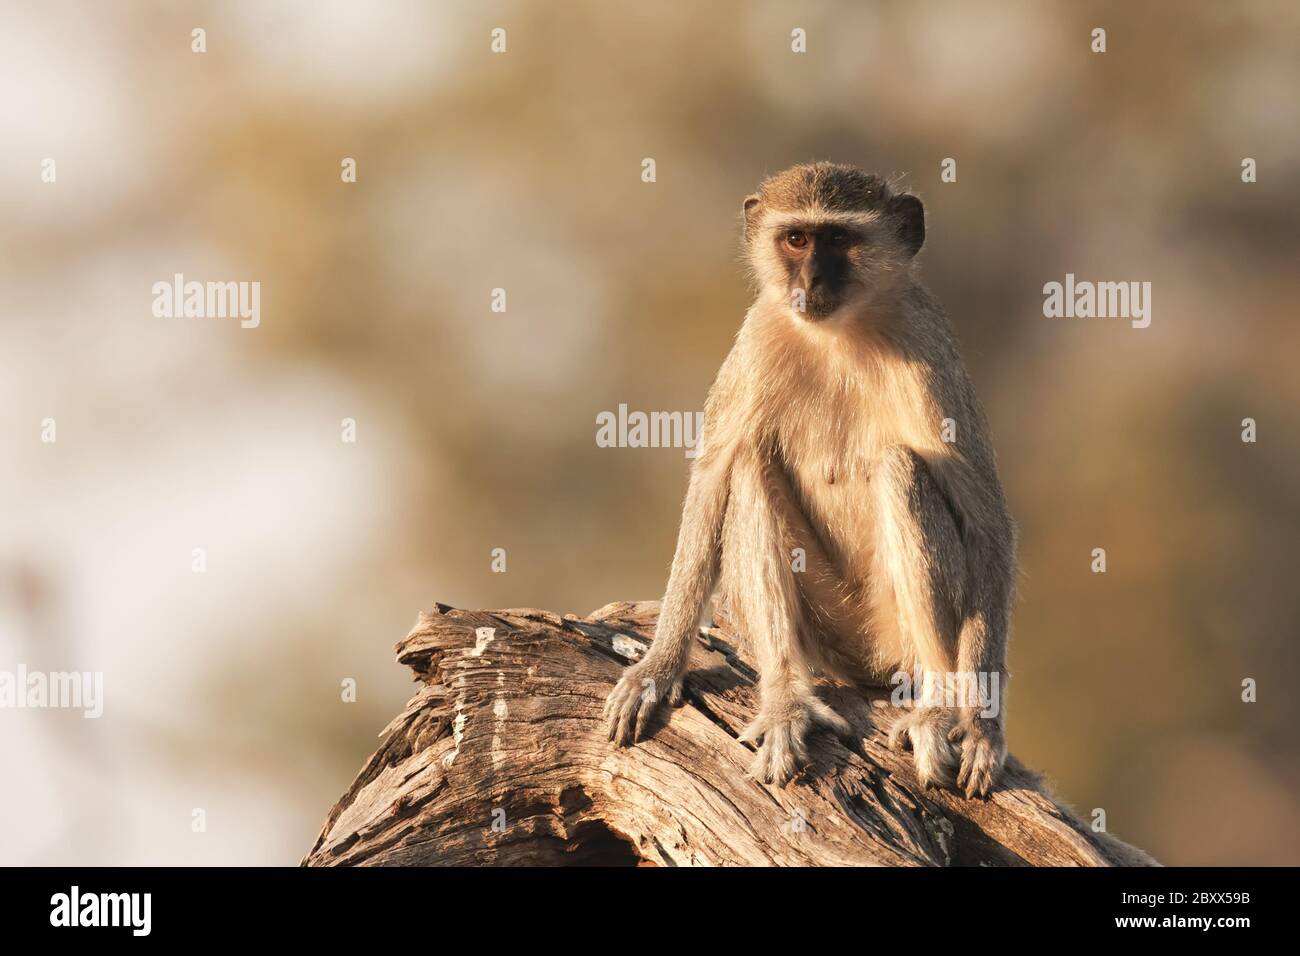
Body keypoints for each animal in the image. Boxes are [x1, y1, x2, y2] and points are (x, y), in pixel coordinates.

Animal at [603, 160, 1019, 796]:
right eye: (796, 239)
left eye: (840, 239)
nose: (812, 281)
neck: (839, 332)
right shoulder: (756, 338)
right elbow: (714, 479)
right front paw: (657, 667)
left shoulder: (929, 348)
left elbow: (986, 526)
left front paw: (980, 725)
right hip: (830, 636)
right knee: (750, 466)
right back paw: (785, 701)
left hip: (887, 636)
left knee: (900, 467)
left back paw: (935, 706)